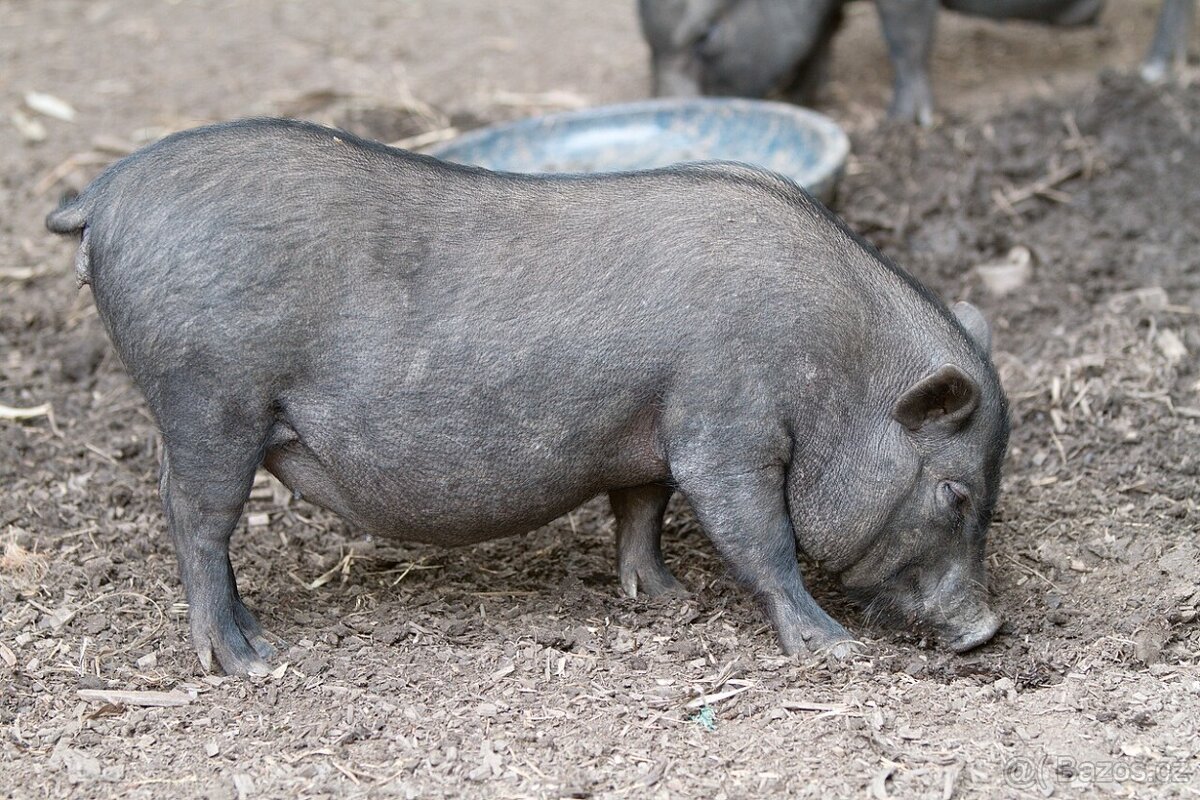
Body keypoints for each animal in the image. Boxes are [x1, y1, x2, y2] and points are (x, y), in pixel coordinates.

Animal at [46, 118, 1008, 681]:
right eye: (955, 491)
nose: (987, 628)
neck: (836, 365)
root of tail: (105, 191)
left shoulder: (648, 432)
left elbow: (640, 511)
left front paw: (665, 601)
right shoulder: (725, 427)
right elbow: (757, 536)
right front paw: (829, 647)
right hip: (209, 399)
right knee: (195, 520)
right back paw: (250, 660)